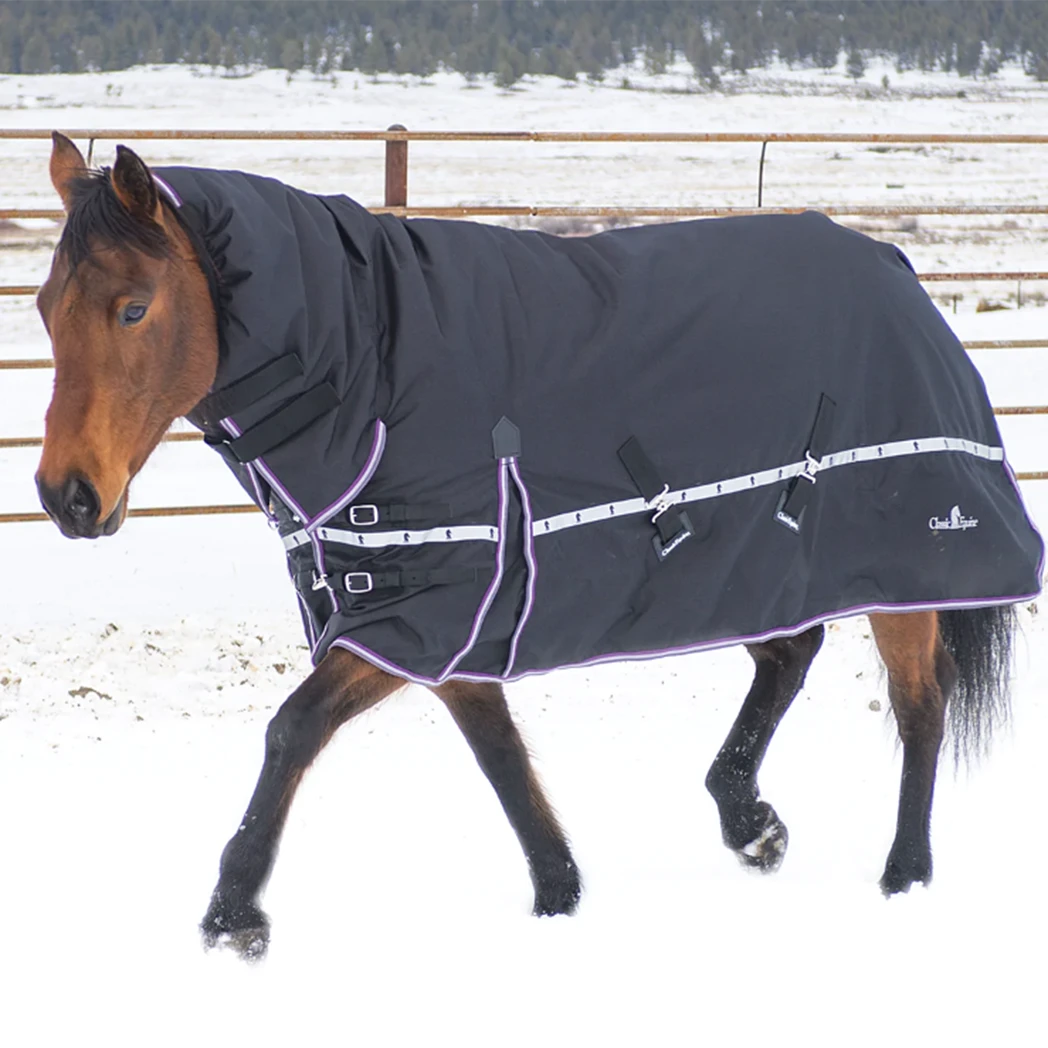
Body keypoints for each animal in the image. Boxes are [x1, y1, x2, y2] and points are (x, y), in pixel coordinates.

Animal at [35, 131, 1039, 961]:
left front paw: (231, 916)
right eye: (45, 308)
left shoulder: (418, 612)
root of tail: (897, 271)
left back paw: (904, 873)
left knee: (919, 704)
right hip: (764, 560)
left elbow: (294, 730)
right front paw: (559, 892)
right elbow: (500, 755)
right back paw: (748, 819)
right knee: (790, 655)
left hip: (906, 563)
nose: (66, 496)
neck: (370, 367)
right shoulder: (444, 614)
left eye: (133, 310)